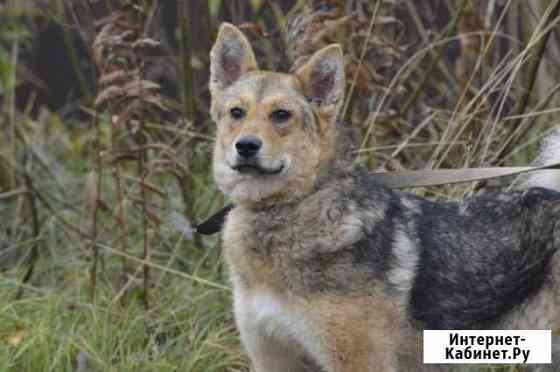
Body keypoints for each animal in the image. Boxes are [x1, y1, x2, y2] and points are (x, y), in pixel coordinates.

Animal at [208, 21, 560, 370]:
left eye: (281, 115)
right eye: (236, 113)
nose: (246, 146)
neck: (291, 208)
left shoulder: (359, 362)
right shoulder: (272, 357)